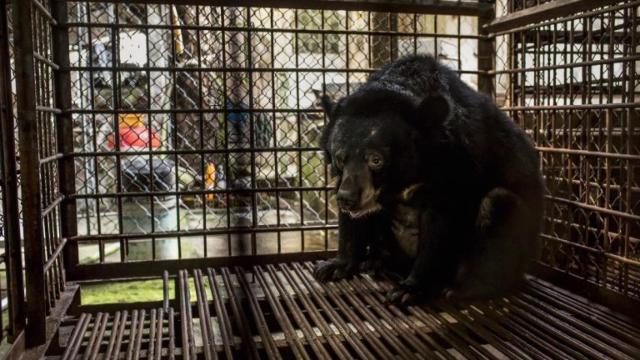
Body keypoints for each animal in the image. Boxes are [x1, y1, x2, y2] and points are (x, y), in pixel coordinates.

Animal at [316, 54, 544, 304]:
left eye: (376, 160)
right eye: (339, 158)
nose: (347, 199)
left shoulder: (455, 163)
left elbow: (439, 227)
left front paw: (408, 290)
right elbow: (351, 220)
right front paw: (335, 266)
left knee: (498, 202)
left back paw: (463, 289)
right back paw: (377, 262)